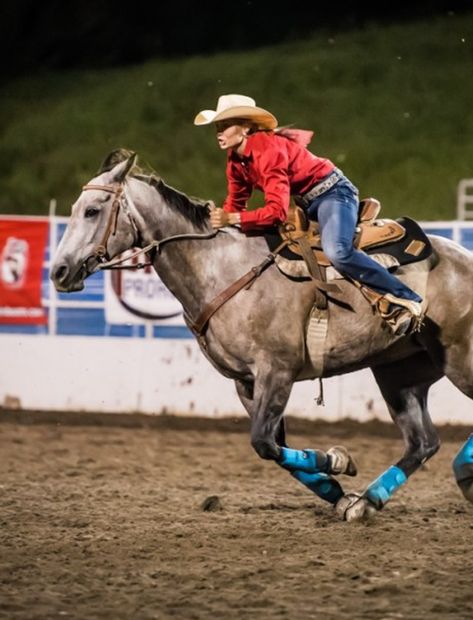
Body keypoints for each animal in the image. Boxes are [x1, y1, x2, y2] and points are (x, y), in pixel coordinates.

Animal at [50, 153, 472, 520]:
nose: (58, 271)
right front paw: (336, 487)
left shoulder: (277, 370)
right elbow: (274, 446)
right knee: (422, 442)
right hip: (400, 374)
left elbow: (264, 443)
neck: (221, 268)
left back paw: (461, 472)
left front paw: (337, 459)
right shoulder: (246, 382)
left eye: (92, 210)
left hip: (459, 359)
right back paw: (367, 502)